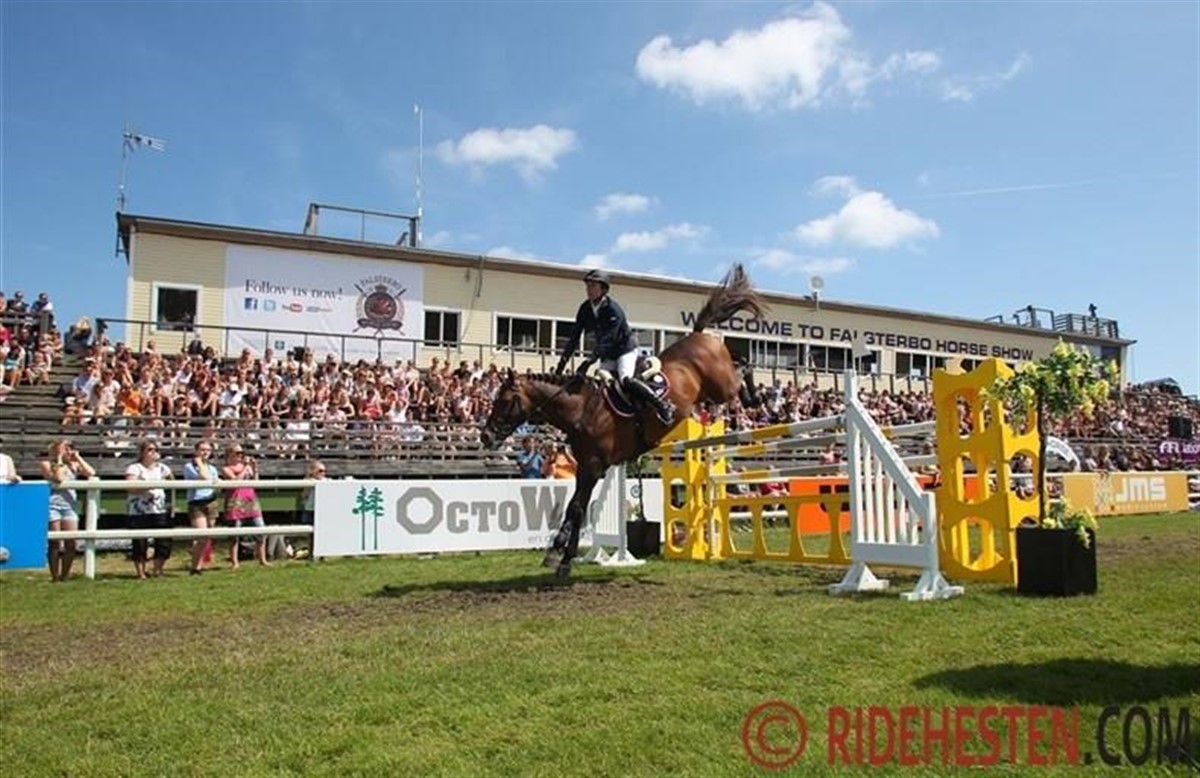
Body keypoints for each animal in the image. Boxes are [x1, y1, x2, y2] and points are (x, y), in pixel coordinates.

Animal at [480, 264, 768, 577]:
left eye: (505, 401)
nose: (486, 436)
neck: (582, 409)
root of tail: (699, 335)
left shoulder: (594, 467)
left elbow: (578, 508)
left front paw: (561, 555)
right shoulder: (586, 467)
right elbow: (576, 507)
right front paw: (559, 554)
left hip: (721, 386)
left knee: (743, 365)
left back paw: (754, 397)